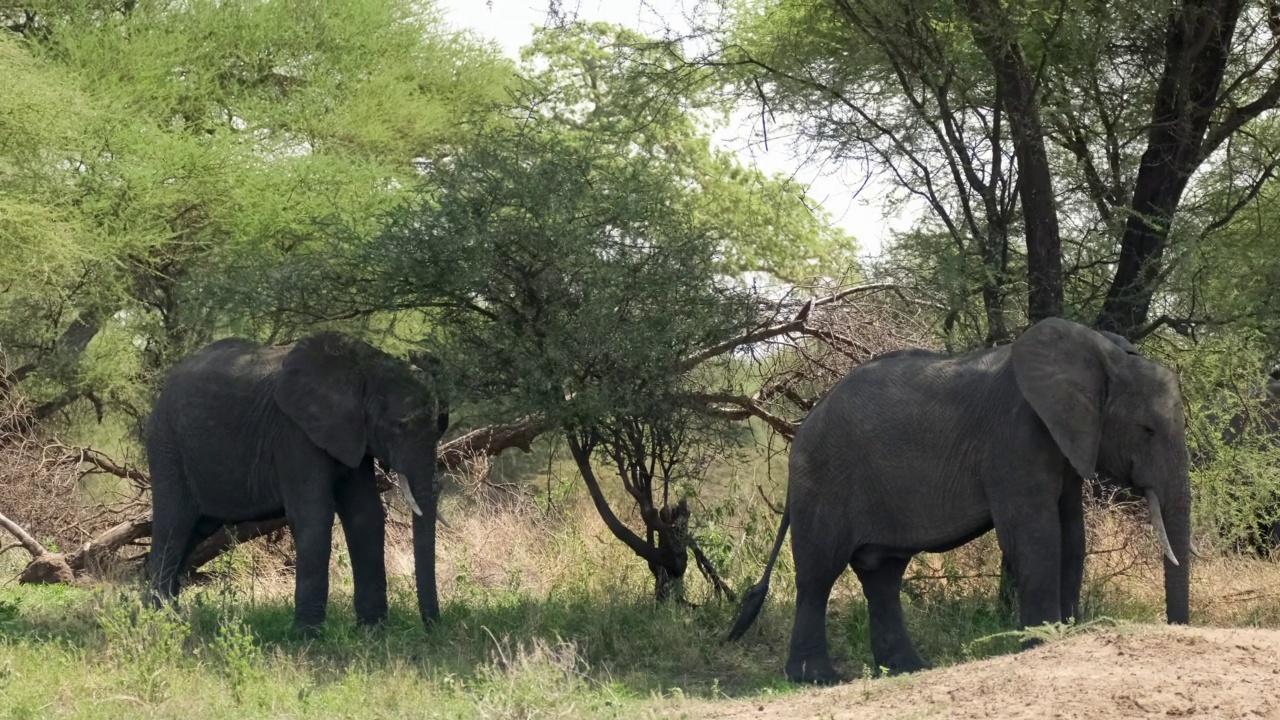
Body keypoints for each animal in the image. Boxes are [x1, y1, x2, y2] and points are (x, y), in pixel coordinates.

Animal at [145, 330, 450, 627]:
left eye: (441, 426)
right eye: (399, 426)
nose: (432, 627)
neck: (366, 367)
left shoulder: (352, 434)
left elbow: (366, 514)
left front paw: (373, 630)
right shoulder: (293, 432)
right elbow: (314, 516)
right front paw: (308, 634)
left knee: (193, 533)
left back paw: (167, 618)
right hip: (167, 445)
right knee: (173, 527)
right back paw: (159, 623)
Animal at [727, 316, 1192, 681]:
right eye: (1147, 430)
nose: (1178, 630)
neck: (1100, 356)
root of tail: (803, 425)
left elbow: (1071, 535)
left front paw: (1065, 635)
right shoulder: (1014, 437)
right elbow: (1035, 535)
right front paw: (1042, 644)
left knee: (882, 574)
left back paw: (910, 669)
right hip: (823, 477)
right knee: (819, 573)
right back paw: (818, 679)